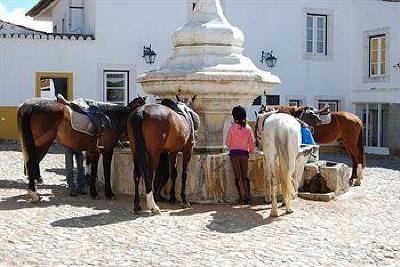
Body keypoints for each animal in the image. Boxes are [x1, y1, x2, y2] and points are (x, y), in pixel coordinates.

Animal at [17, 97, 145, 202]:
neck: (111, 120)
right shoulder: (107, 151)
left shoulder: (94, 152)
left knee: (30, 164)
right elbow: (107, 172)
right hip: (42, 144)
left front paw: (93, 192)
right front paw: (108, 193)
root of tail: (31, 106)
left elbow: (93, 171)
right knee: (31, 164)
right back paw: (34, 193)